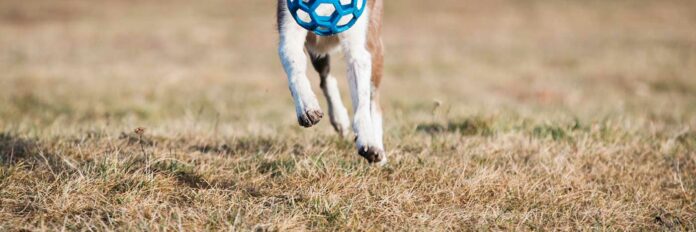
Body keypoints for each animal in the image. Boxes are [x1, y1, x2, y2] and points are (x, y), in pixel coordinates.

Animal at [278, 0, 386, 164]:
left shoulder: (357, 47)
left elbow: (362, 101)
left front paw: (368, 141)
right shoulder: (290, 26)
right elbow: (295, 68)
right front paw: (307, 107)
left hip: (374, 43)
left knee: (374, 100)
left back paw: (378, 147)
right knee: (326, 79)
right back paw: (338, 117)